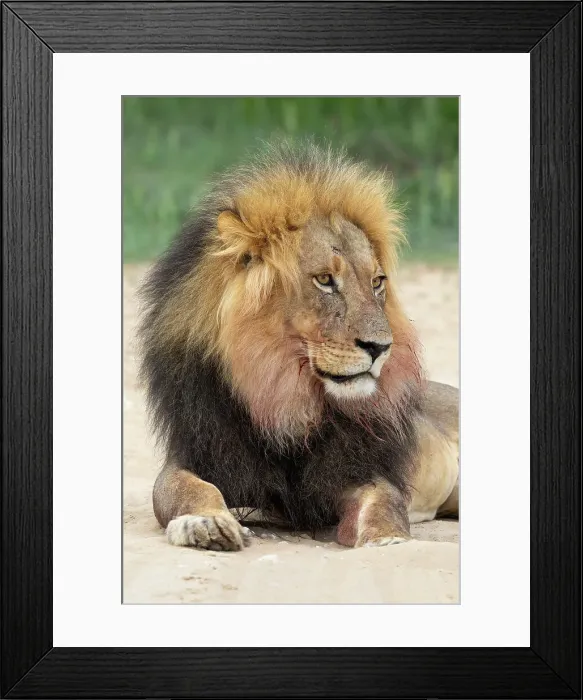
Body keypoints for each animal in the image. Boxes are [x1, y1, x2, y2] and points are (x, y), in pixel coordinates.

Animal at [139, 142, 459, 551]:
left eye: (376, 282)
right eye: (324, 280)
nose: (381, 348)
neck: (287, 399)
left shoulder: (363, 471)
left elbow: (384, 506)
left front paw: (387, 540)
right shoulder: (196, 455)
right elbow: (188, 490)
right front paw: (206, 524)